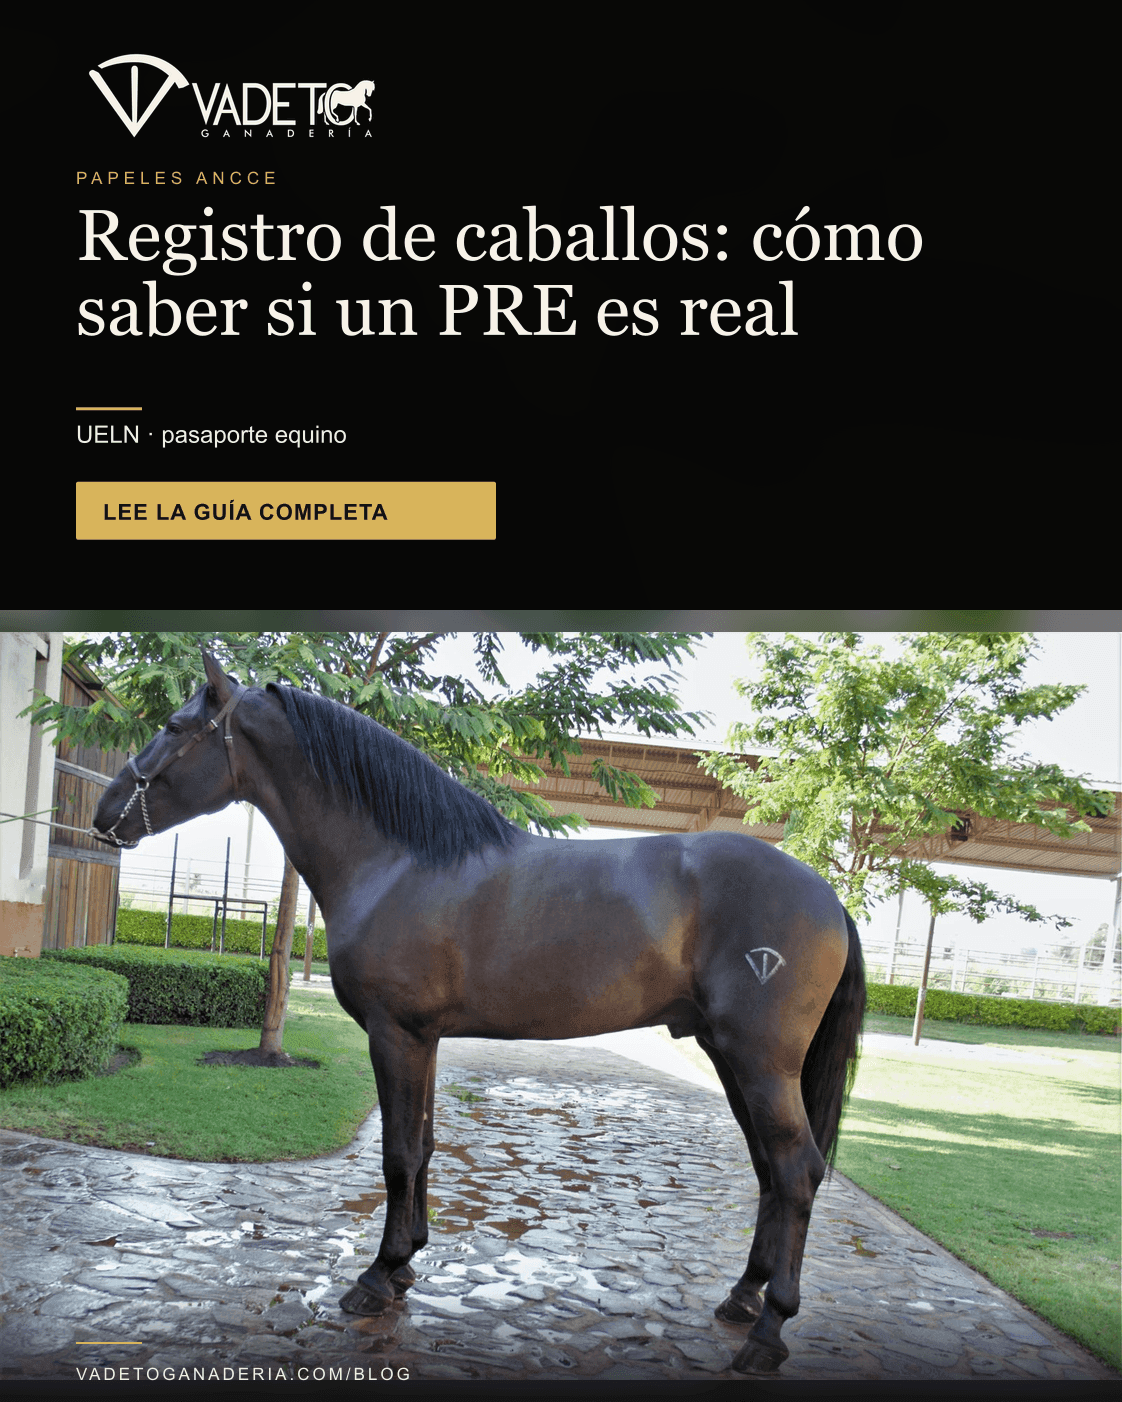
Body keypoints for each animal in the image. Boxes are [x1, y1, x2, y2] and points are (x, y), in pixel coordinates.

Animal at [91, 650, 865, 1375]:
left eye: (174, 727)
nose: (105, 814)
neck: (399, 861)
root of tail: (828, 896)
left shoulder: (394, 1035)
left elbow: (399, 1153)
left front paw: (376, 1277)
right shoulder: (425, 1038)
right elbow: (425, 1145)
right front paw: (407, 1262)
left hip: (758, 1060)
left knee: (796, 1170)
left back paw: (769, 1330)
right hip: (729, 1056)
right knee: (770, 1170)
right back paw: (742, 1296)